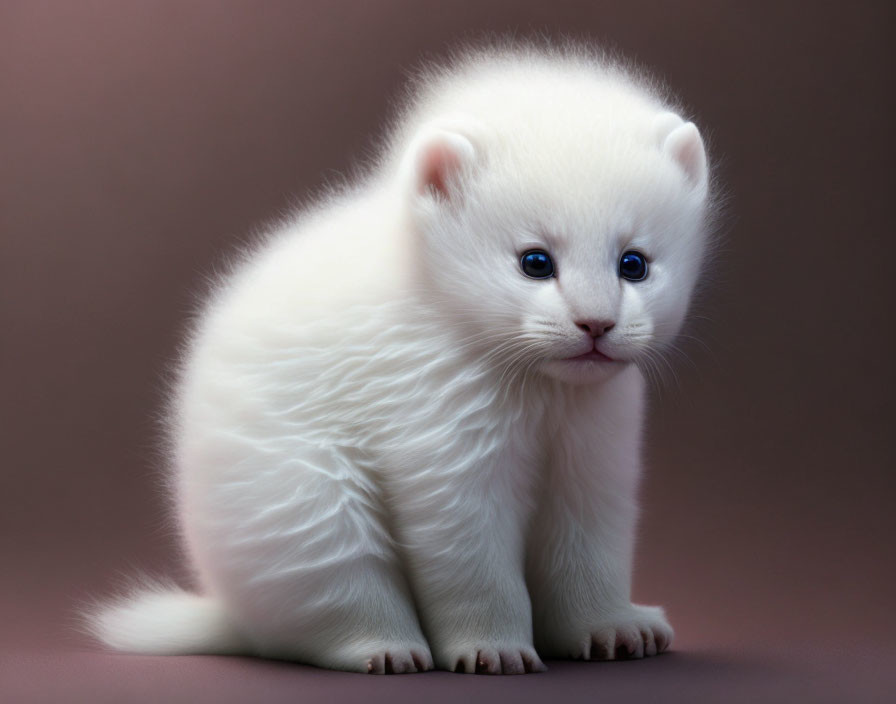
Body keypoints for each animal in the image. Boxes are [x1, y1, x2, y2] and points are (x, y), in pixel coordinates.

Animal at [89, 45, 712, 676]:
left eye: (634, 264)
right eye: (536, 261)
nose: (596, 324)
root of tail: (233, 617)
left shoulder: (594, 449)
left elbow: (589, 555)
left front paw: (612, 628)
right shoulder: (439, 442)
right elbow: (473, 567)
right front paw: (493, 647)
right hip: (312, 511)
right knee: (336, 601)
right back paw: (385, 647)